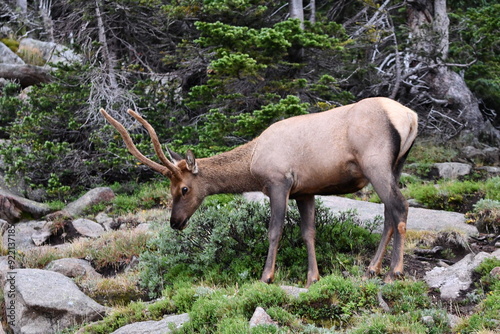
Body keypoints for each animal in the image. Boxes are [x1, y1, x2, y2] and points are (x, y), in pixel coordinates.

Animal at [100, 96, 418, 288]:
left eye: (184, 189)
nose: (175, 222)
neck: (252, 164)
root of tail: (411, 117)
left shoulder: (278, 182)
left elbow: (275, 231)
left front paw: (266, 276)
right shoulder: (304, 191)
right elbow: (308, 233)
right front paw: (312, 277)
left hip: (375, 163)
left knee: (400, 207)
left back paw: (394, 271)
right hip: (395, 165)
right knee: (389, 214)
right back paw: (373, 268)